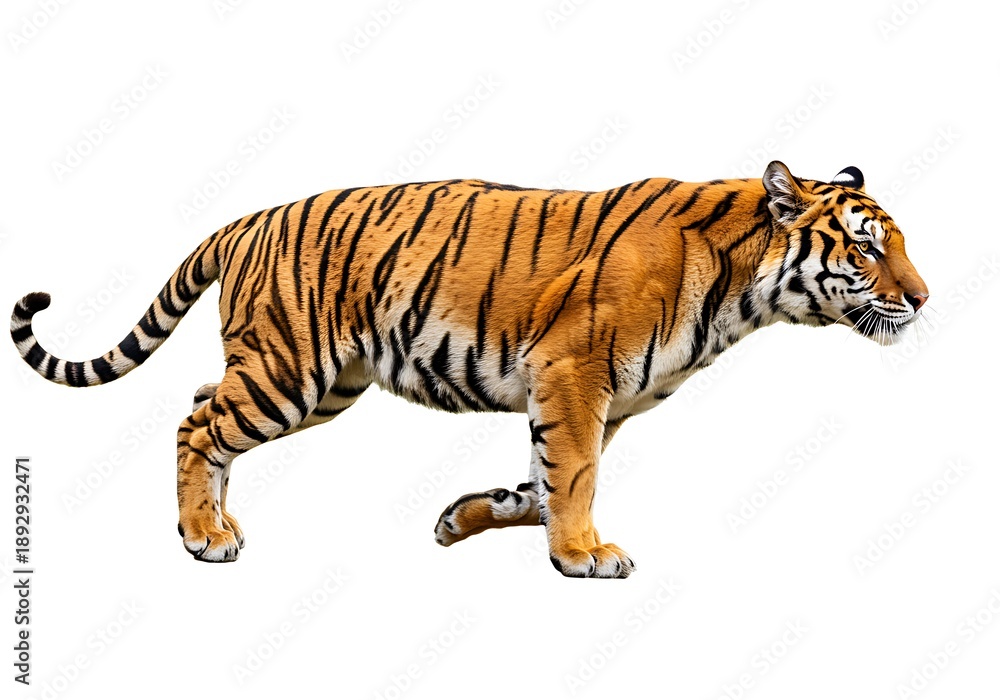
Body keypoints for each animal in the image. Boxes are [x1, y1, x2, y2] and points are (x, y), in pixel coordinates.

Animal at [10, 160, 928, 578]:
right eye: (867, 247)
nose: (922, 298)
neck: (743, 293)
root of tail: (249, 218)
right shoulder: (573, 372)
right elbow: (575, 476)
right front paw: (584, 555)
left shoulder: (587, 395)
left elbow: (543, 479)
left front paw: (462, 521)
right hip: (290, 373)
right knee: (195, 423)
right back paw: (204, 536)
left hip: (315, 380)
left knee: (205, 401)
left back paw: (216, 520)